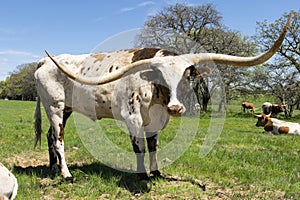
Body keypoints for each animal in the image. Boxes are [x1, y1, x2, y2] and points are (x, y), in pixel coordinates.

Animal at [33, 14, 292, 182]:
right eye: (160, 77)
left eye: (187, 76)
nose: (176, 108)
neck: (155, 96)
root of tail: (45, 61)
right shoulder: (133, 118)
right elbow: (139, 147)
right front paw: (141, 175)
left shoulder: (156, 120)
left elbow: (153, 145)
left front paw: (156, 172)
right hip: (55, 107)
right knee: (59, 139)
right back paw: (66, 174)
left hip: (65, 109)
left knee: (50, 136)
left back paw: (53, 168)